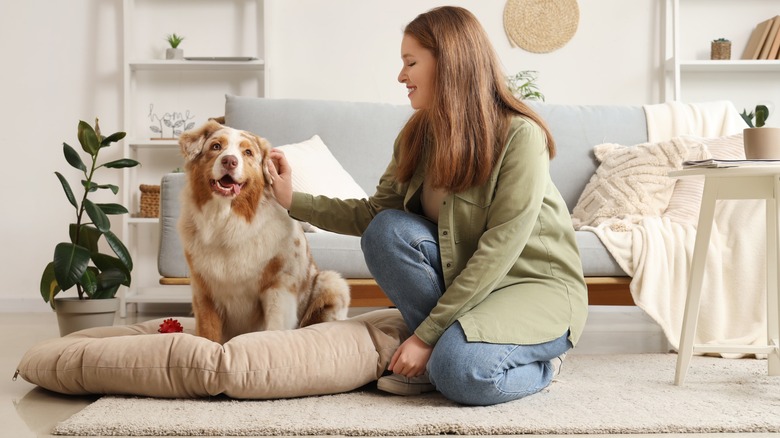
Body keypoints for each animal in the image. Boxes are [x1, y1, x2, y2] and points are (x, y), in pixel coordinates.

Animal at [178, 120, 348, 346]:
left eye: (248, 152)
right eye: (216, 146)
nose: (230, 161)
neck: (226, 222)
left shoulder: (279, 287)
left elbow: (273, 330)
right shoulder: (204, 291)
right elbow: (209, 335)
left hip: (332, 282)